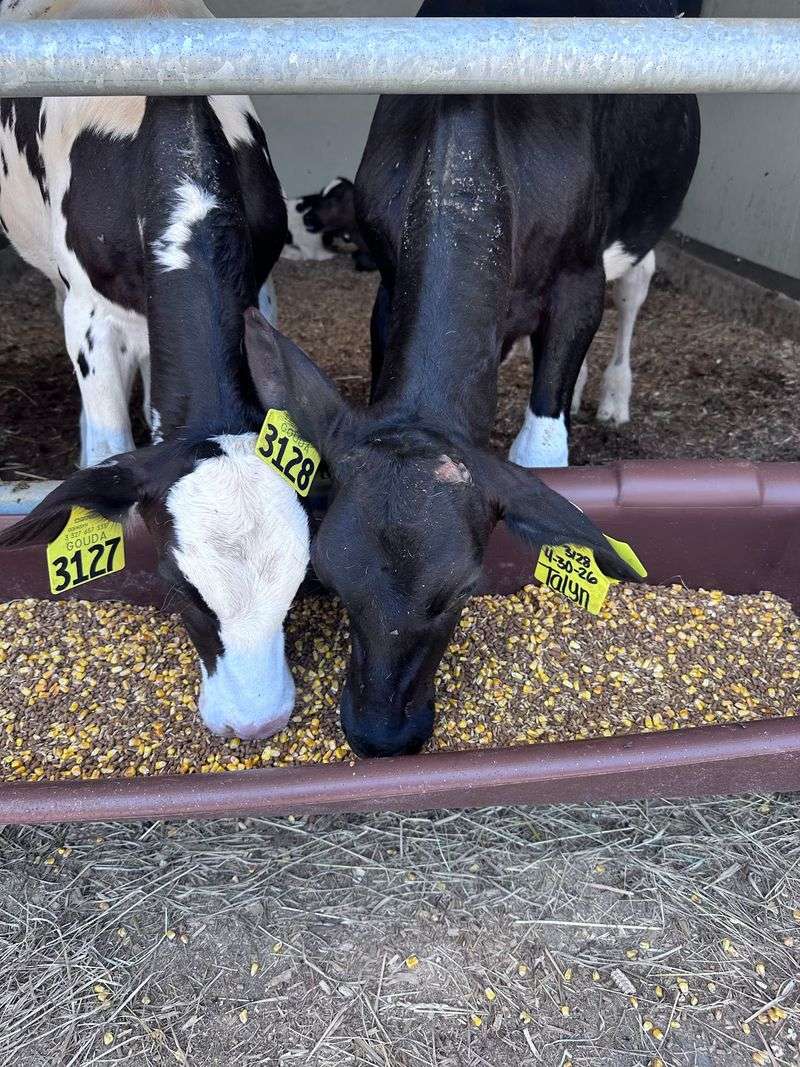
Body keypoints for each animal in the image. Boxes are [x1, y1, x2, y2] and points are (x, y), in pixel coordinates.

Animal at [0, 0, 310, 740]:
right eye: (178, 585)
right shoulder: (90, 312)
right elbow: (111, 445)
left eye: (301, 584)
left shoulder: (259, 286)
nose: (258, 723)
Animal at [243, 0, 700, 758]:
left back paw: (610, 395)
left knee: (635, 288)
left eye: (461, 590)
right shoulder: (388, 284)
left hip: (640, 225)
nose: (379, 733)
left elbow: (541, 449)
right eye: (328, 575)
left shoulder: (578, 280)